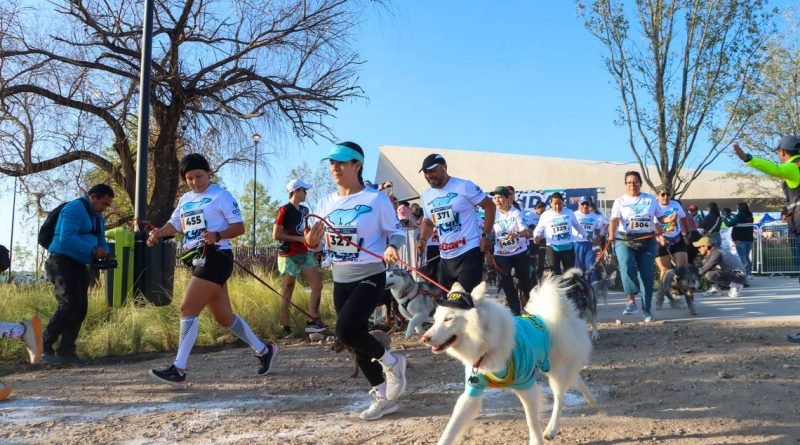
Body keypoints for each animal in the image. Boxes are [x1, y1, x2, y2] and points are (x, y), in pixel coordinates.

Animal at [422, 276, 596, 442]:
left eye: (448, 319)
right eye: (435, 319)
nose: (424, 338)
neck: (487, 343)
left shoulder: (526, 385)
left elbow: (532, 422)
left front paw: (536, 440)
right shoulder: (472, 389)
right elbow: (451, 427)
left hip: (557, 371)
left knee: (560, 398)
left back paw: (552, 429)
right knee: (575, 378)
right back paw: (591, 400)